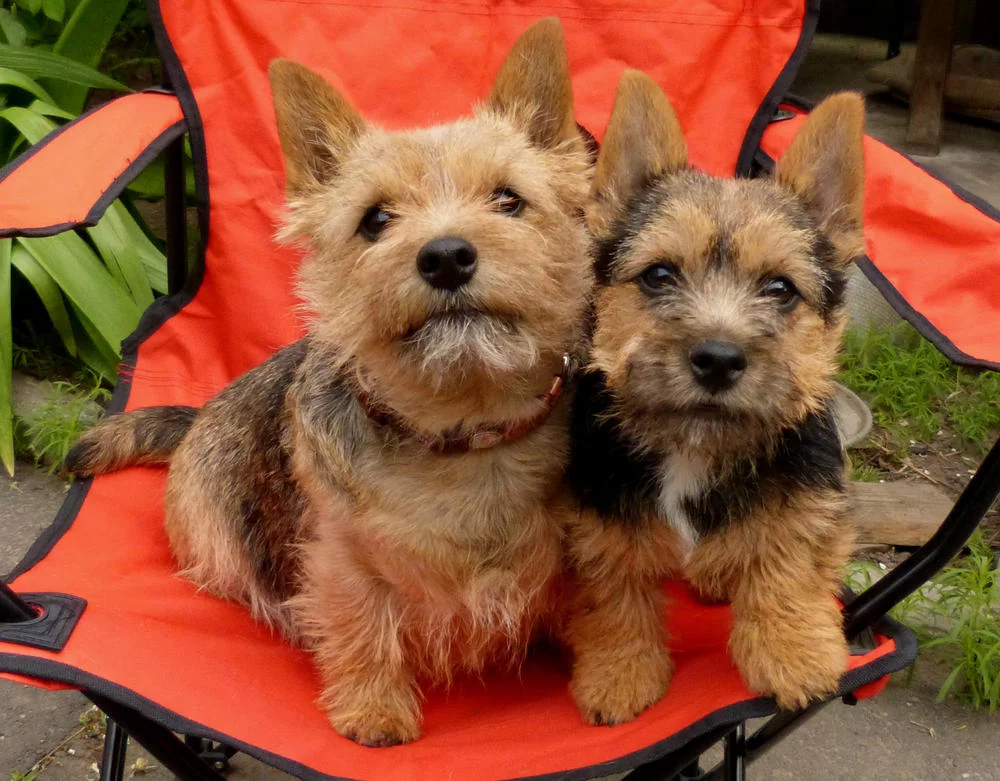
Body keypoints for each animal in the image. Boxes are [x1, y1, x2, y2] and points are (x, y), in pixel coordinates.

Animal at [66, 18, 593, 746]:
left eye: (508, 200)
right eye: (376, 219)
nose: (446, 256)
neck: (465, 434)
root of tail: (199, 414)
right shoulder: (341, 559)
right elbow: (362, 626)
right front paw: (374, 710)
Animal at [561, 71, 864, 724]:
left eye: (780, 288)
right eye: (658, 275)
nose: (719, 359)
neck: (695, 448)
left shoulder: (804, 495)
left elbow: (787, 562)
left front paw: (794, 652)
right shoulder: (603, 516)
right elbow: (614, 595)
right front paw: (619, 674)